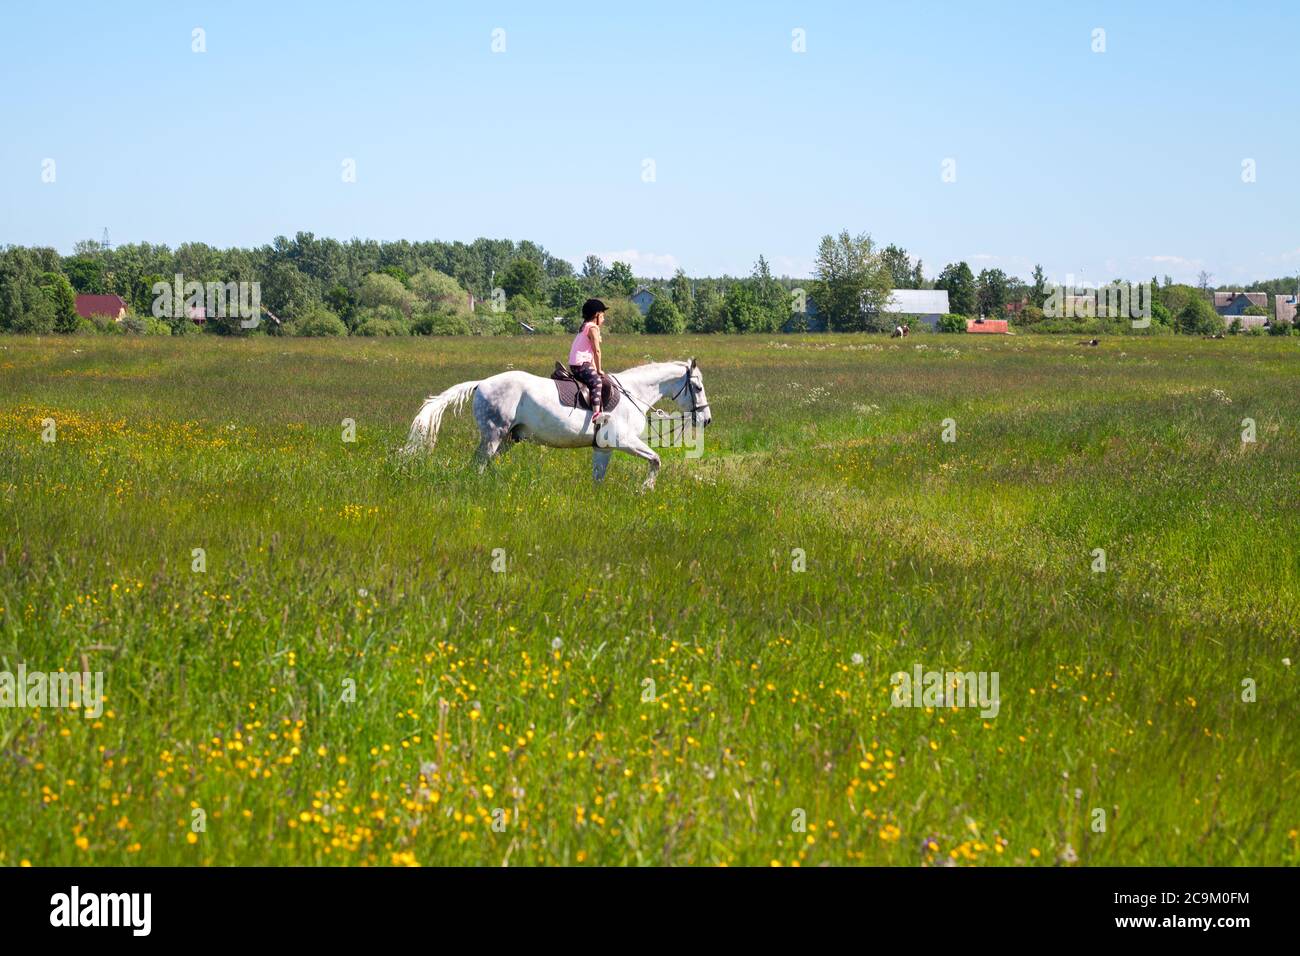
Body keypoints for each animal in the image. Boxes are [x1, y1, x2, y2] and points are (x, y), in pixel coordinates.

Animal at [403, 361, 712, 489]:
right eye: (697, 387)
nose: (706, 419)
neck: (633, 393)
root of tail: (481, 383)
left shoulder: (603, 447)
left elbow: (598, 478)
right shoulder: (623, 441)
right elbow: (656, 459)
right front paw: (645, 489)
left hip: (507, 439)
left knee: (486, 464)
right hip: (493, 435)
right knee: (478, 464)